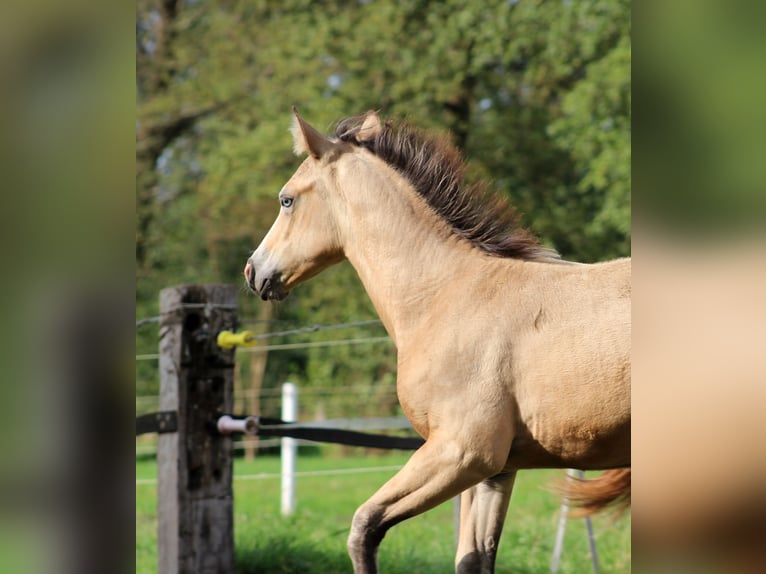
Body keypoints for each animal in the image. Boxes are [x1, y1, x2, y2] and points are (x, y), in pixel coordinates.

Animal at [244, 109, 632, 574]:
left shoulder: (462, 452)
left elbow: (363, 528)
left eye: (286, 200)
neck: (445, 294)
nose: (253, 272)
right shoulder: (495, 471)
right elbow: (472, 559)